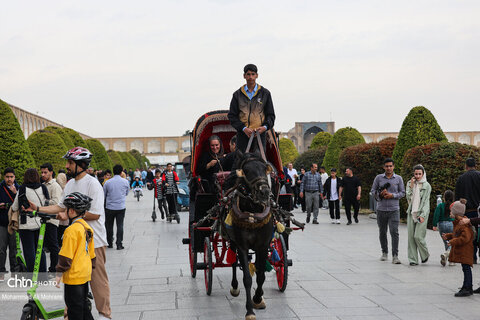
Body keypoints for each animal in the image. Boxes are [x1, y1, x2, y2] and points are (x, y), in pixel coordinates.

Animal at [224, 151, 276, 320]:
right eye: (246, 171)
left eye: (265, 169)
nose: (264, 192)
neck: (252, 212)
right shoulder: (242, 245)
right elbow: (247, 278)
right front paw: (249, 311)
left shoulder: (263, 245)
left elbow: (260, 275)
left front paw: (258, 298)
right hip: (233, 241)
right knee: (234, 263)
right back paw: (234, 287)